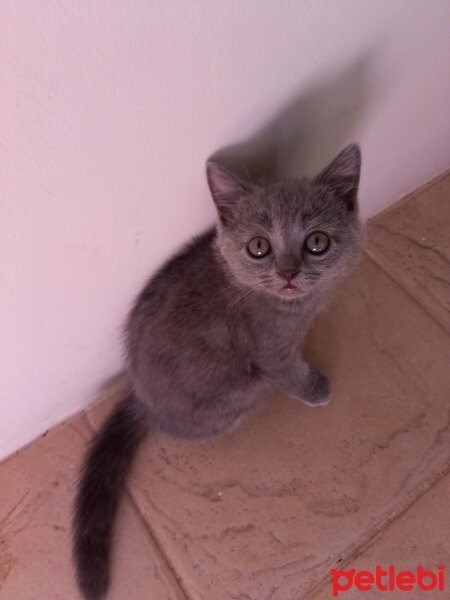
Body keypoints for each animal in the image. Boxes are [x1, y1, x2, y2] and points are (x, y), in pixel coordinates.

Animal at [74, 143, 362, 596]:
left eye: (317, 241)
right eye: (259, 246)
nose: (288, 272)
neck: (289, 305)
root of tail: (141, 398)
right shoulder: (270, 349)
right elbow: (289, 372)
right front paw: (315, 388)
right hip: (238, 395)